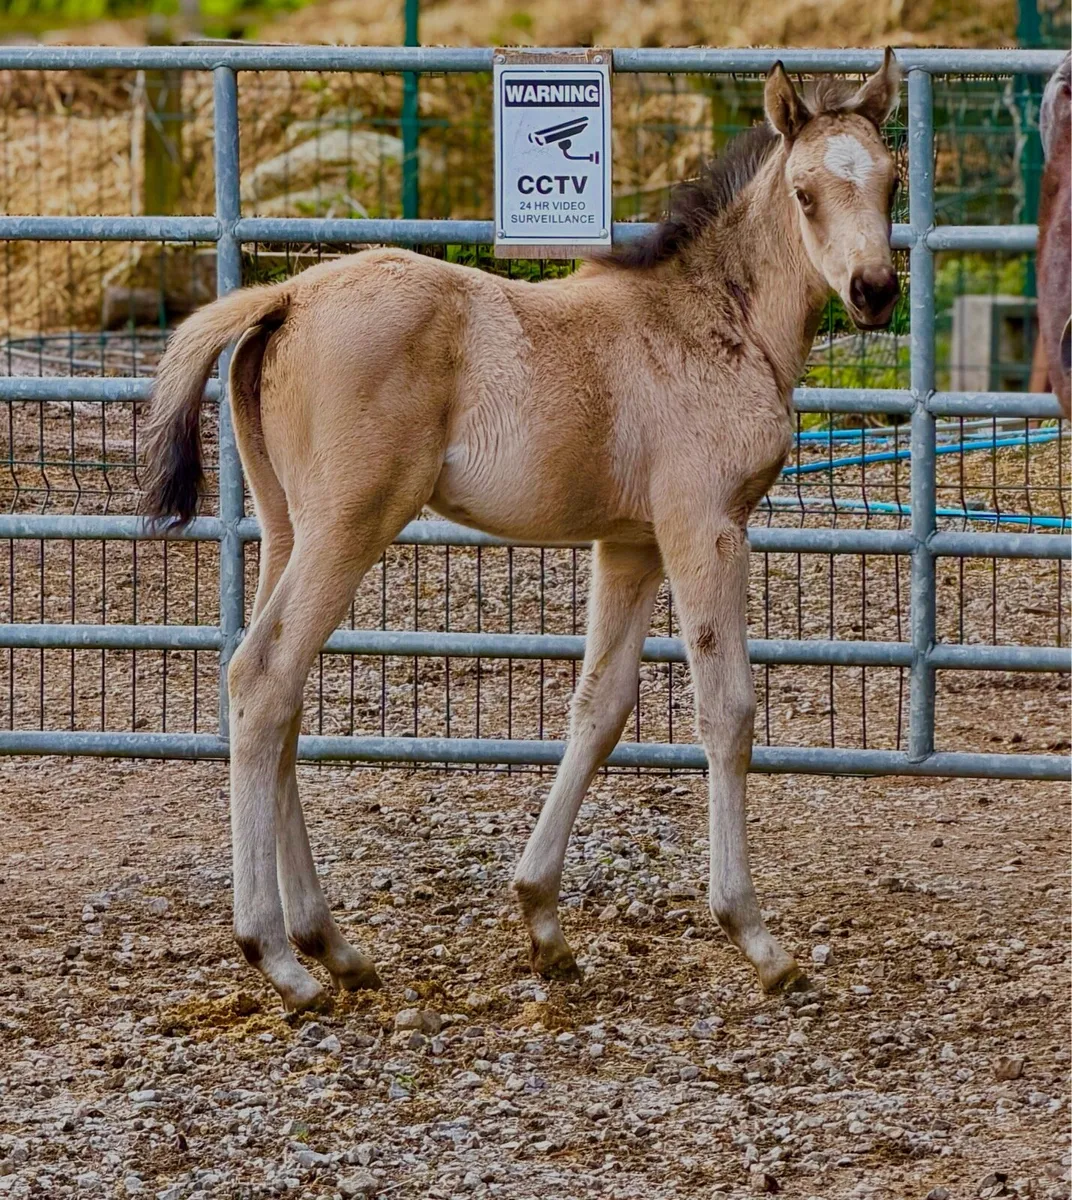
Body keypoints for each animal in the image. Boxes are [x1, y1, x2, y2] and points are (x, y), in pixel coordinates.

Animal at [142, 52, 902, 1012]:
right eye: (805, 193)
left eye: (893, 180)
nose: (875, 291)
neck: (715, 320)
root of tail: (284, 297)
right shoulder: (706, 525)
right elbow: (727, 711)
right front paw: (757, 939)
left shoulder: (631, 542)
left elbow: (599, 707)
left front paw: (543, 920)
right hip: (350, 522)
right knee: (265, 676)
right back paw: (279, 957)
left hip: (288, 528)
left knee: (280, 693)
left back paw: (334, 945)